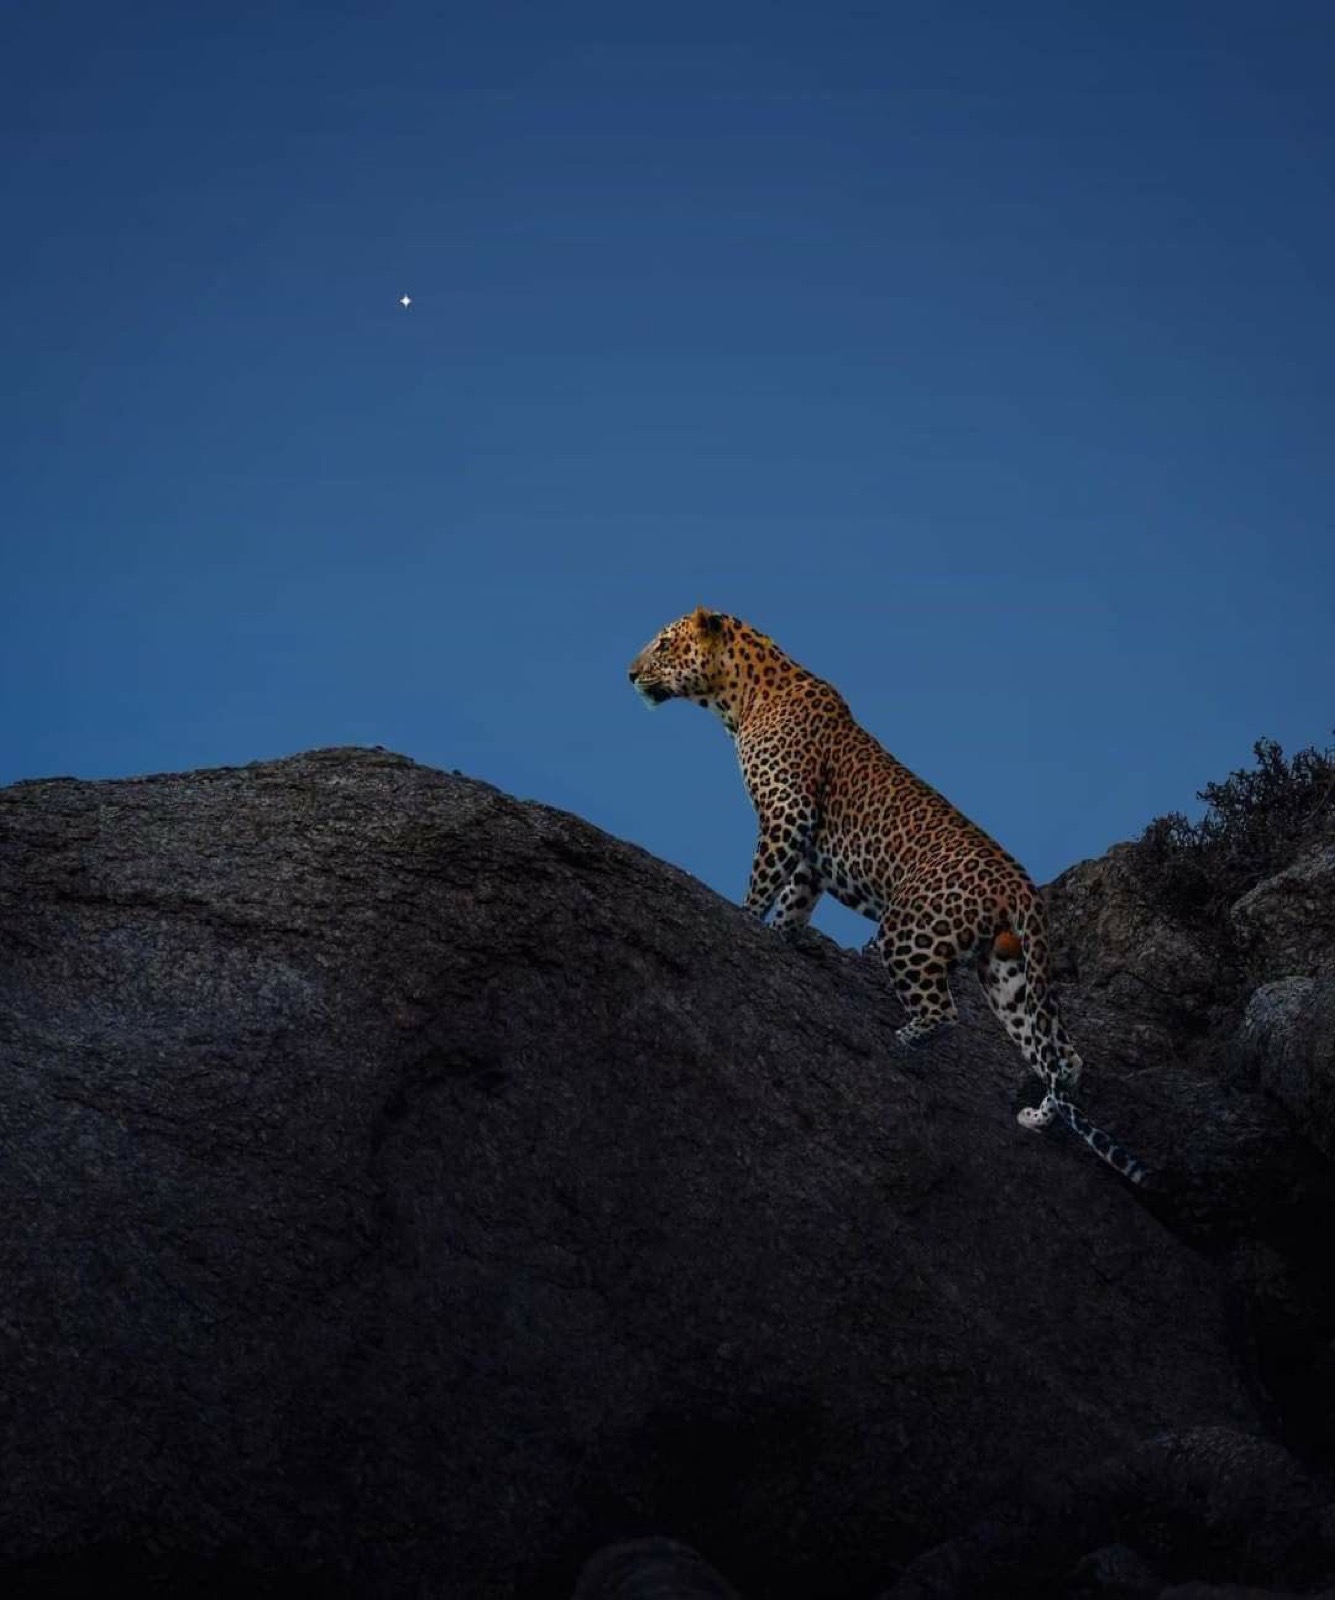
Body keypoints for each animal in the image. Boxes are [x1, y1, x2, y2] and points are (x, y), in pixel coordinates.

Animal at [628, 606, 1149, 1186]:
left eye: (664, 645)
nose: (630, 674)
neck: (740, 697)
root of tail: (1021, 885)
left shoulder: (787, 817)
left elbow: (760, 887)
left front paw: (741, 919)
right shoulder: (809, 855)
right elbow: (791, 906)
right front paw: (777, 939)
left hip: (909, 933)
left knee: (946, 1011)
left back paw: (899, 1041)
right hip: (1008, 973)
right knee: (1064, 1056)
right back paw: (1034, 1117)